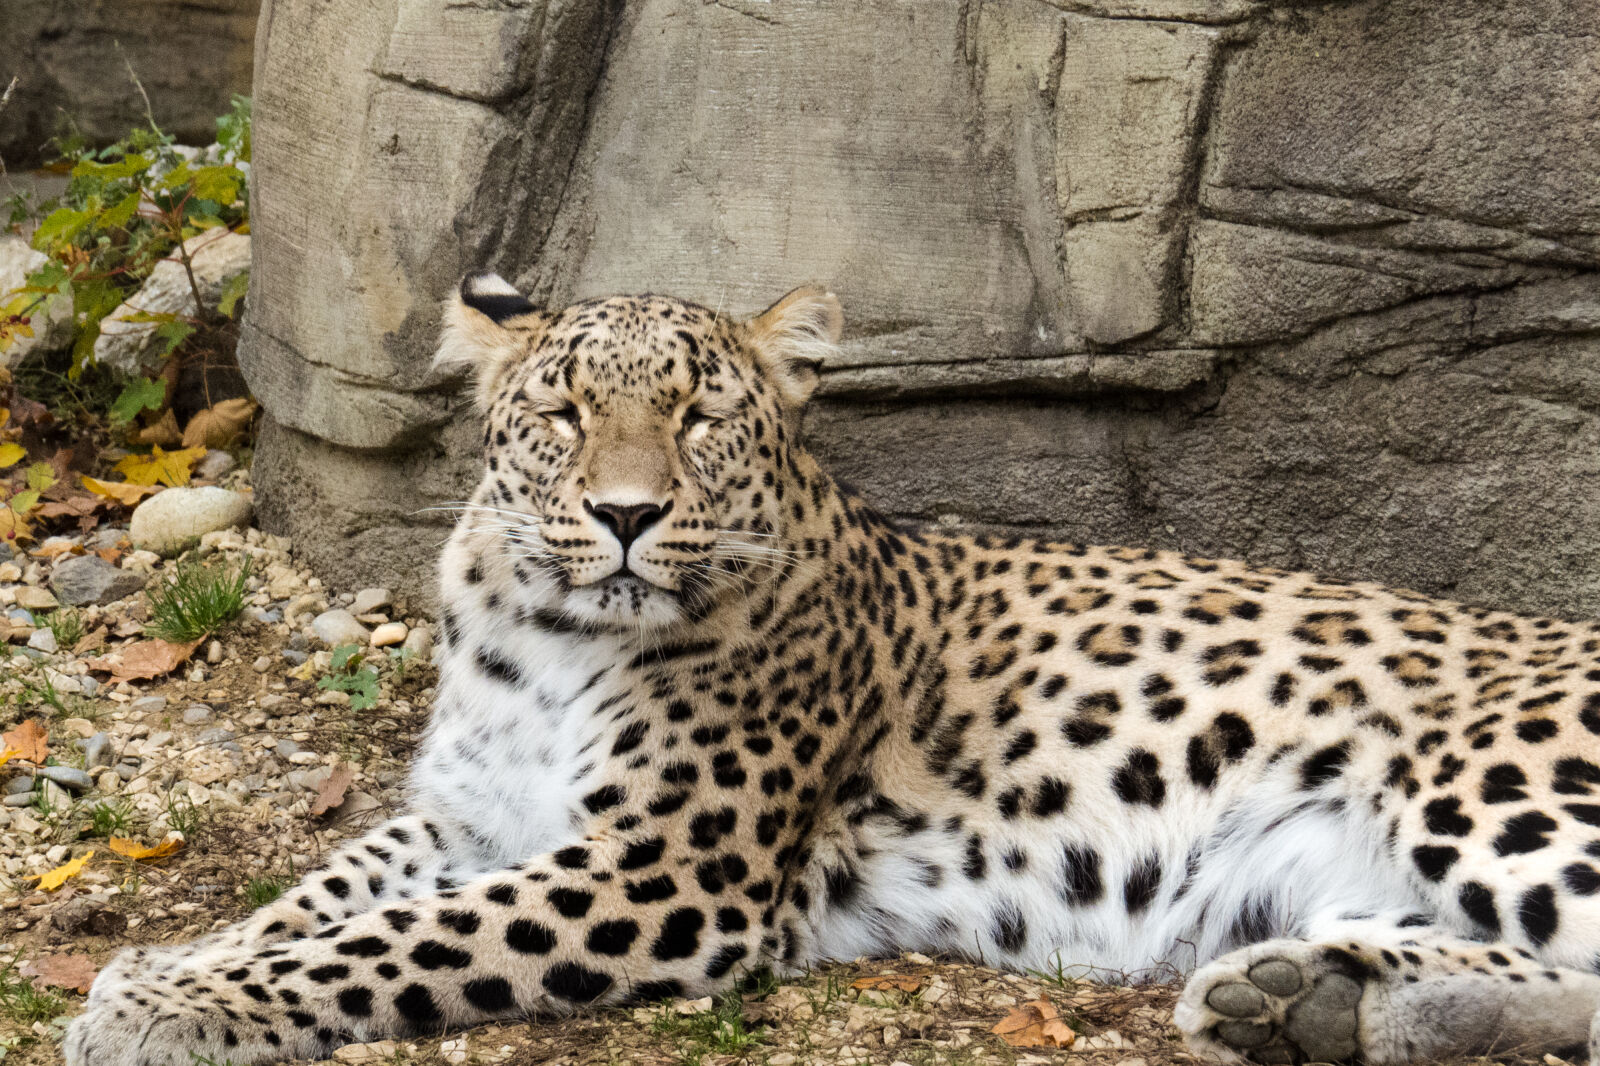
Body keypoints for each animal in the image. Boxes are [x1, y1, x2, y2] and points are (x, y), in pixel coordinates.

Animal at [66, 273, 1600, 1066]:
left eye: (698, 413)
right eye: (563, 412)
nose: (625, 513)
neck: (550, 636)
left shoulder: (666, 873)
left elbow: (395, 941)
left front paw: (168, 1007)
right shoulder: (463, 818)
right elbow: (320, 893)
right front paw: (173, 959)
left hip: (1471, 785)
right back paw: (1327, 999)